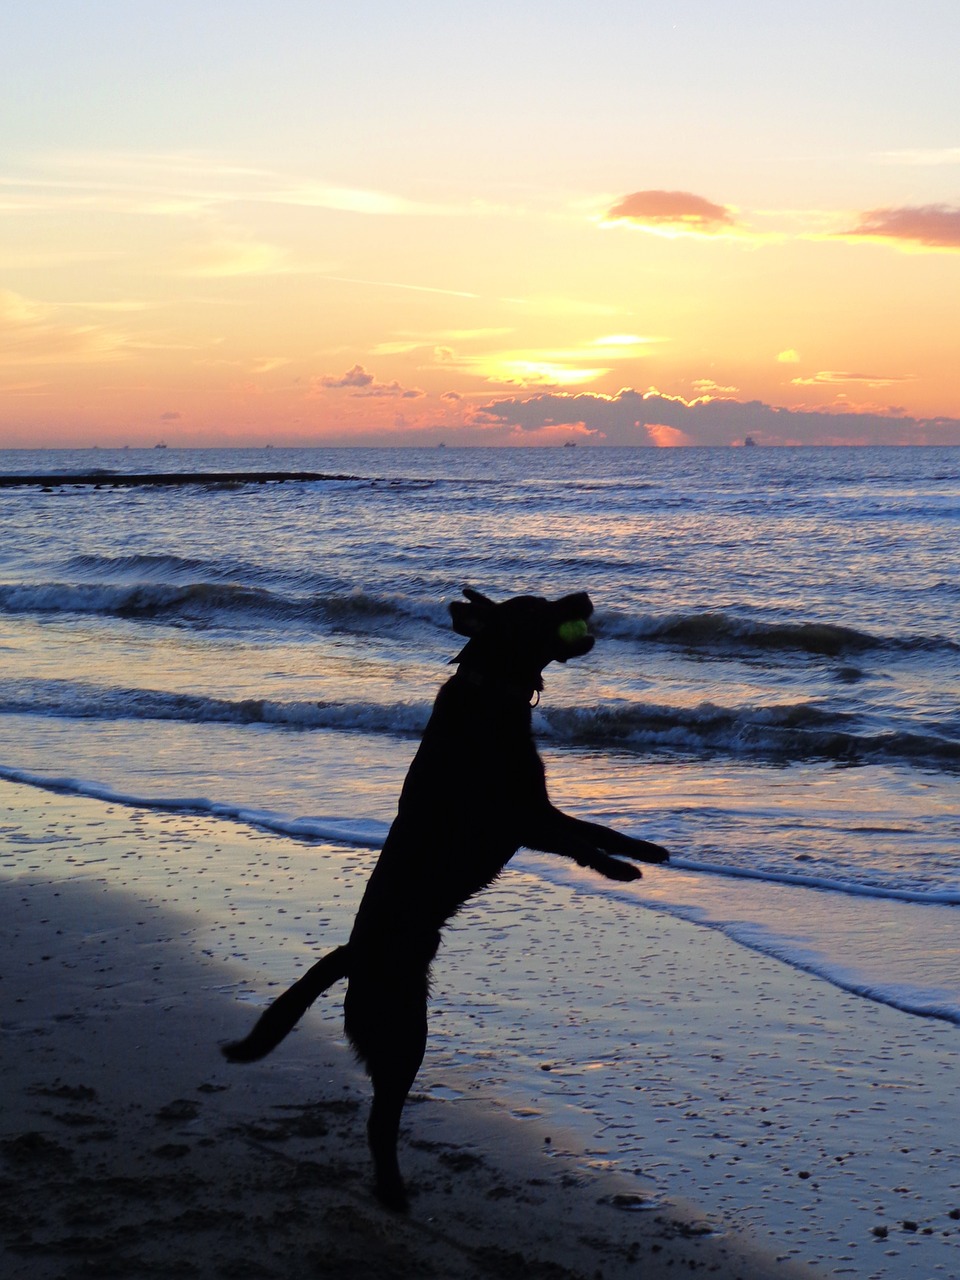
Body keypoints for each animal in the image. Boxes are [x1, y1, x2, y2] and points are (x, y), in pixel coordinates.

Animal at [225, 588, 670, 1208]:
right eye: (536, 608)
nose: (583, 596)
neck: (492, 691)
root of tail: (352, 955)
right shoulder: (522, 819)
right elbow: (583, 843)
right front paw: (620, 871)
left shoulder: (540, 809)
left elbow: (598, 828)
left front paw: (647, 850)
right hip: (406, 1031)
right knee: (379, 1120)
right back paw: (394, 1193)